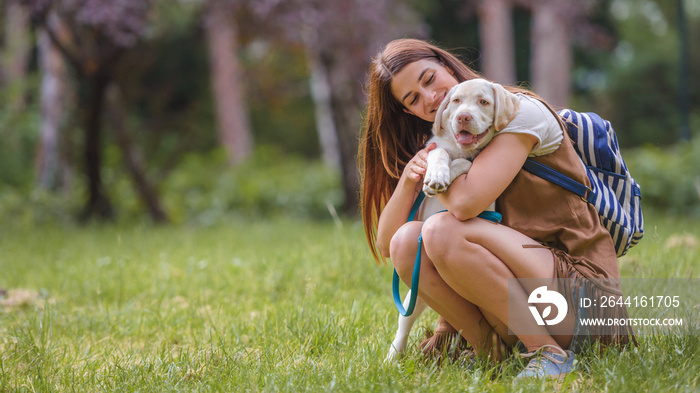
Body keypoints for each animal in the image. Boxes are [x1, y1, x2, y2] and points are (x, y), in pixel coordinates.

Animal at [388, 77, 520, 362]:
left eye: (484, 102)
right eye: (456, 101)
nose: (463, 117)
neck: (464, 150)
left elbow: (465, 165)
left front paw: (447, 174)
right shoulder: (433, 151)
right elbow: (440, 155)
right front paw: (436, 176)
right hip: (414, 295)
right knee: (403, 327)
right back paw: (391, 360)